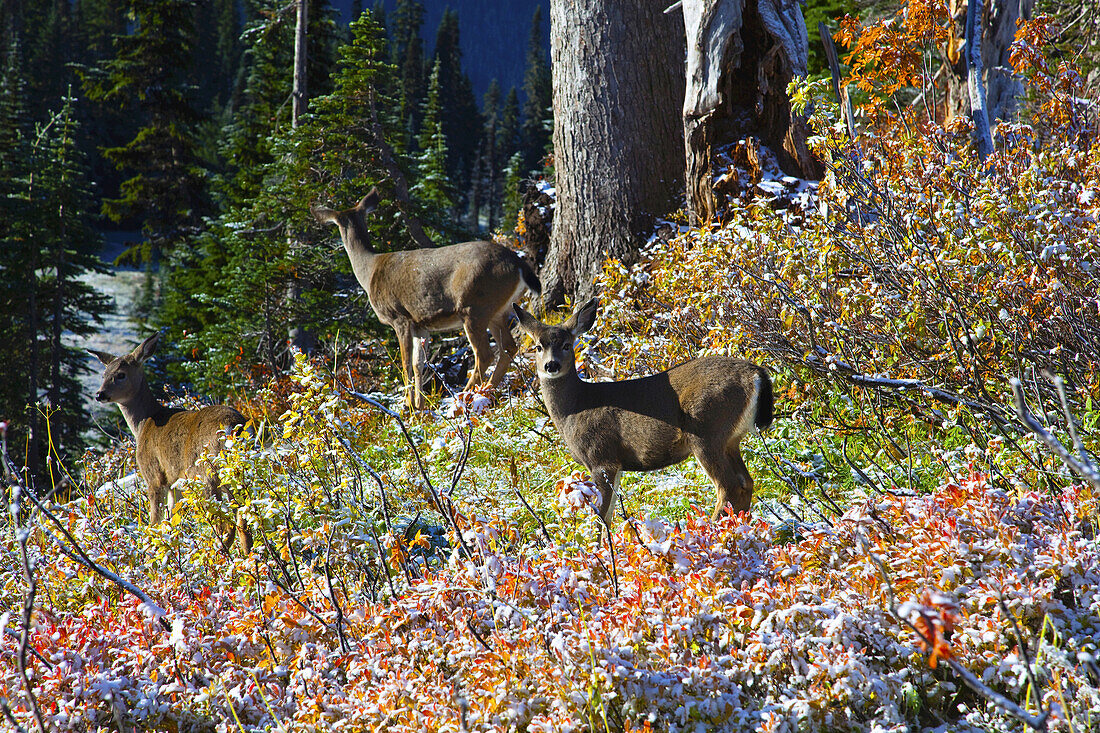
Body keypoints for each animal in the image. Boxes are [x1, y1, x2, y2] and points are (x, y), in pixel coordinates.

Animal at [89, 334, 251, 550]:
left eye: (120, 374)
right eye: (104, 374)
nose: (100, 394)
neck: (145, 422)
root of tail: (232, 427)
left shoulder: (154, 474)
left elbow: (155, 520)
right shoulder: (175, 482)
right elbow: (172, 517)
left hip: (206, 473)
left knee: (224, 524)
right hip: (238, 472)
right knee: (244, 518)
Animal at [312, 186, 539, 407]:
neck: (369, 272)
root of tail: (519, 264)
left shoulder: (399, 317)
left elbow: (405, 364)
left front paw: (409, 407)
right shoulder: (421, 325)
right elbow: (418, 364)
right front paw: (419, 407)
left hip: (474, 305)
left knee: (484, 354)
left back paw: (462, 399)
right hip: (497, 310)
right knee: (509, 347)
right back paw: (486, 392)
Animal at [512, 299, 774, 534]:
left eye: (567, 344)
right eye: (538, 346)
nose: (551, 365)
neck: (574, 410)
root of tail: (756, 374)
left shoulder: (601, 456)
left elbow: (601, 518)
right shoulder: (616, 464)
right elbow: (609, 515)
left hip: (707, 430)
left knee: (728, 486)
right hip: (730, 438)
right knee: (746, 482)